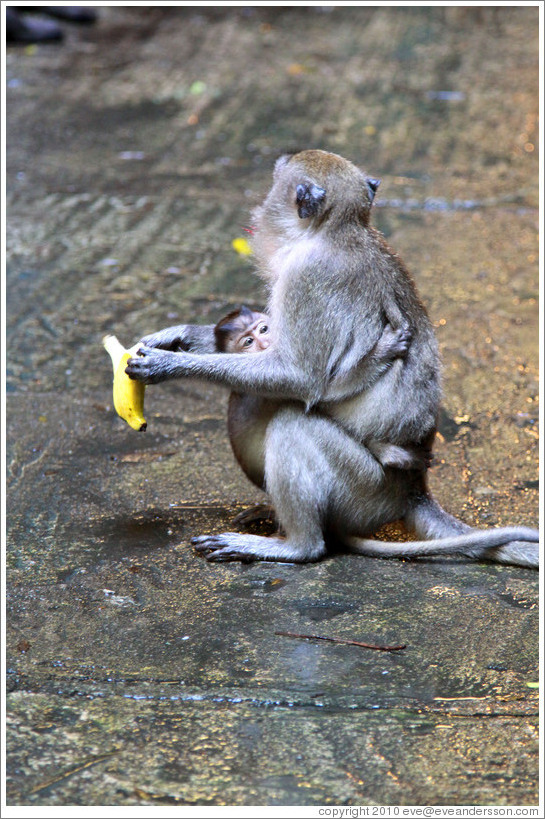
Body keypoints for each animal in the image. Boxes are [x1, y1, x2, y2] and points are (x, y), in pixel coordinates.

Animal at [126, 151, 536, 568]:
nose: (262, 209)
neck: (338, 230)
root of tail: (414, 491)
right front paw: (184, 336)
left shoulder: (304, 278)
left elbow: (299, 377)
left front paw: (168, 365)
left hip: (366, 489)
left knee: (290, 424)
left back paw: (296, 545)